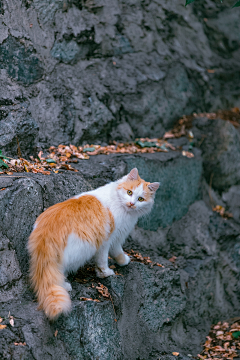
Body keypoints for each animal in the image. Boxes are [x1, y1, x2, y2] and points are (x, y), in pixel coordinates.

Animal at [27, 169, 159, 320]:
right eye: (129, 192)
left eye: (140, 199)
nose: (132, 204)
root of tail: (46, 233)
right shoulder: (108, 240)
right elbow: (105, 259)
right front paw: (106, 272)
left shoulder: (115, 238)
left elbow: (116, 252)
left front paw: (121, 262)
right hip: (82, 249)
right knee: (57, 273)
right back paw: (65, 286)